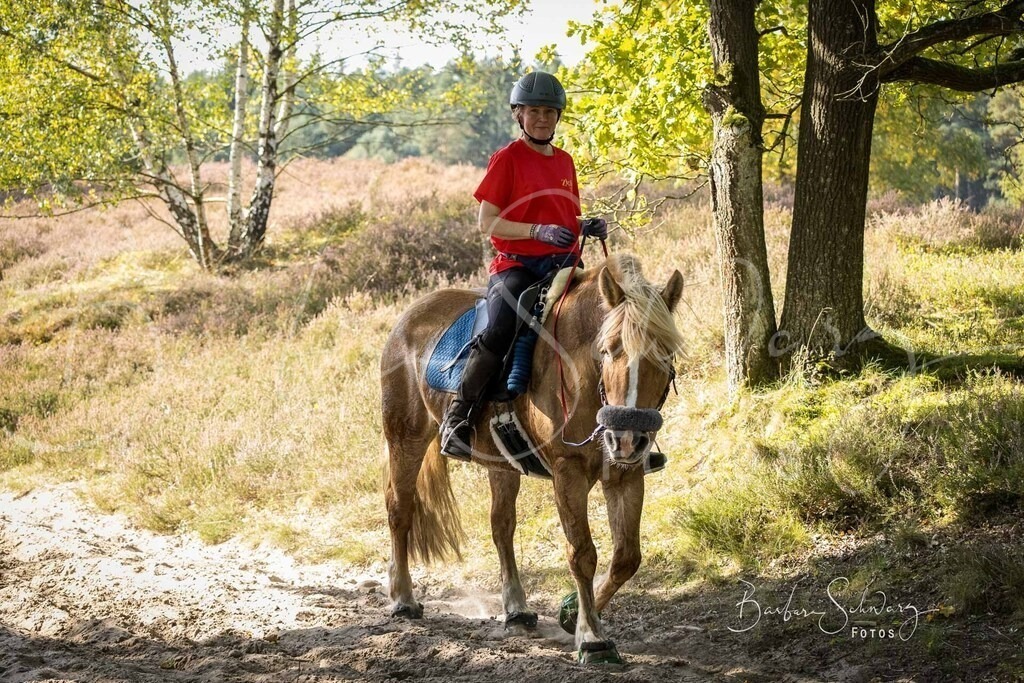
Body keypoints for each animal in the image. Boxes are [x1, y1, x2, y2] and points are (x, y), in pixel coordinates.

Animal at [380, 252, 684, 664]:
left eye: (665, 353)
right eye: (609, 349)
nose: (626, 438)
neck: (581, 371)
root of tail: (408, 318)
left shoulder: (625, 474)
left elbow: (626, 557)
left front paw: (571, 613)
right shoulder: (568, 473)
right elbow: (581, 553)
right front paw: (592, 638)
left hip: (500, 464)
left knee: (501, 526)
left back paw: (516, 610)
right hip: (405, 439)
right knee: (400, 510)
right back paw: (403, 600)